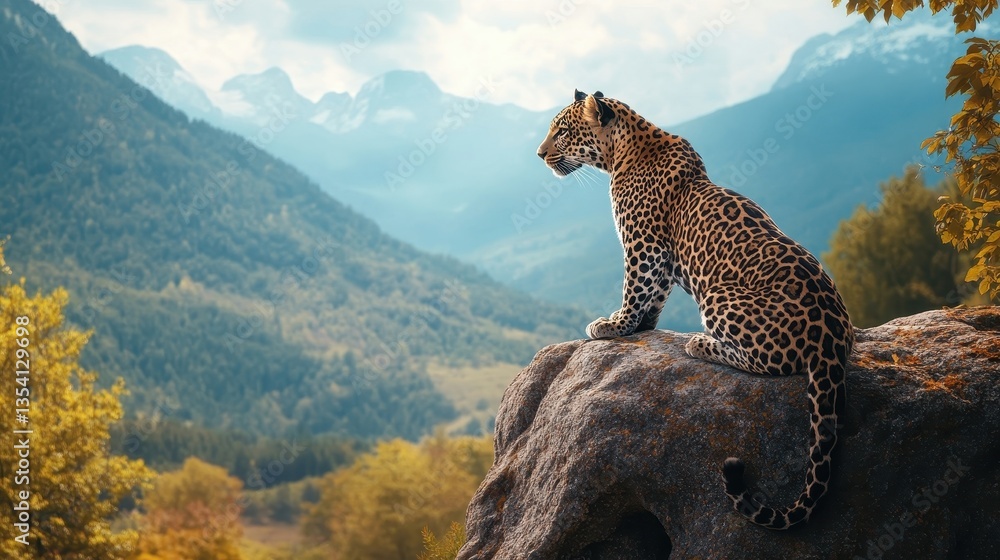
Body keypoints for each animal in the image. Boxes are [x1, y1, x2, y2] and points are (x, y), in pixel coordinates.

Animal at [535, 89, 854, 530]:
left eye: (562, 131)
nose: (539, 153)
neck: (625, 149)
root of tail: (832, 338)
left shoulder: (644, 246)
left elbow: (634, 287)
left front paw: (614, 325)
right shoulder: (664, 259)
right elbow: (653, 296)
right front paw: (641, 325)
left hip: (719, 296)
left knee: (768, 363)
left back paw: (700, 345)